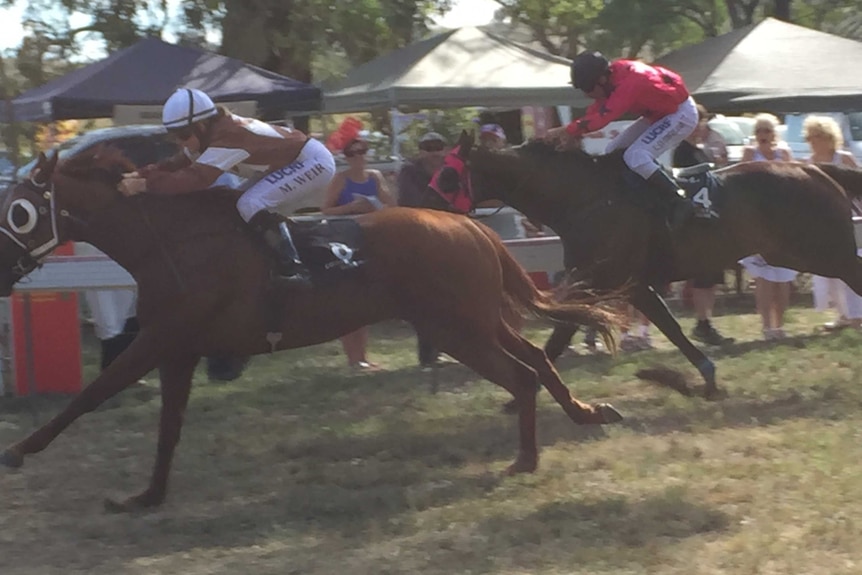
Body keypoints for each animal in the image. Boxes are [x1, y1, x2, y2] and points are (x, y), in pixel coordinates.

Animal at [0, 148, 624, 512]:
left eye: (18, 210)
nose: (2, 268)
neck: (171, 242)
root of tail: (472, 227)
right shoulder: (178, 349)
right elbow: (167, 427)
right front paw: (146, 496)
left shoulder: (159, 341)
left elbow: (89, 396)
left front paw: (17, 451)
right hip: (478, 320)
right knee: (538, 361)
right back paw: (589, 413)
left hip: (456, 330)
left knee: (522, 376)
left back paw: (525, 459)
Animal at [436, 132, 862, 400]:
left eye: (447, 174)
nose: (429, 220)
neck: (586, 198)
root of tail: (814, 168)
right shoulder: (626, 284)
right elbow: (668, 329)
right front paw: (704, 381)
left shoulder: (600, 278)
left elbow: (561, 334)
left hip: (822, 253)